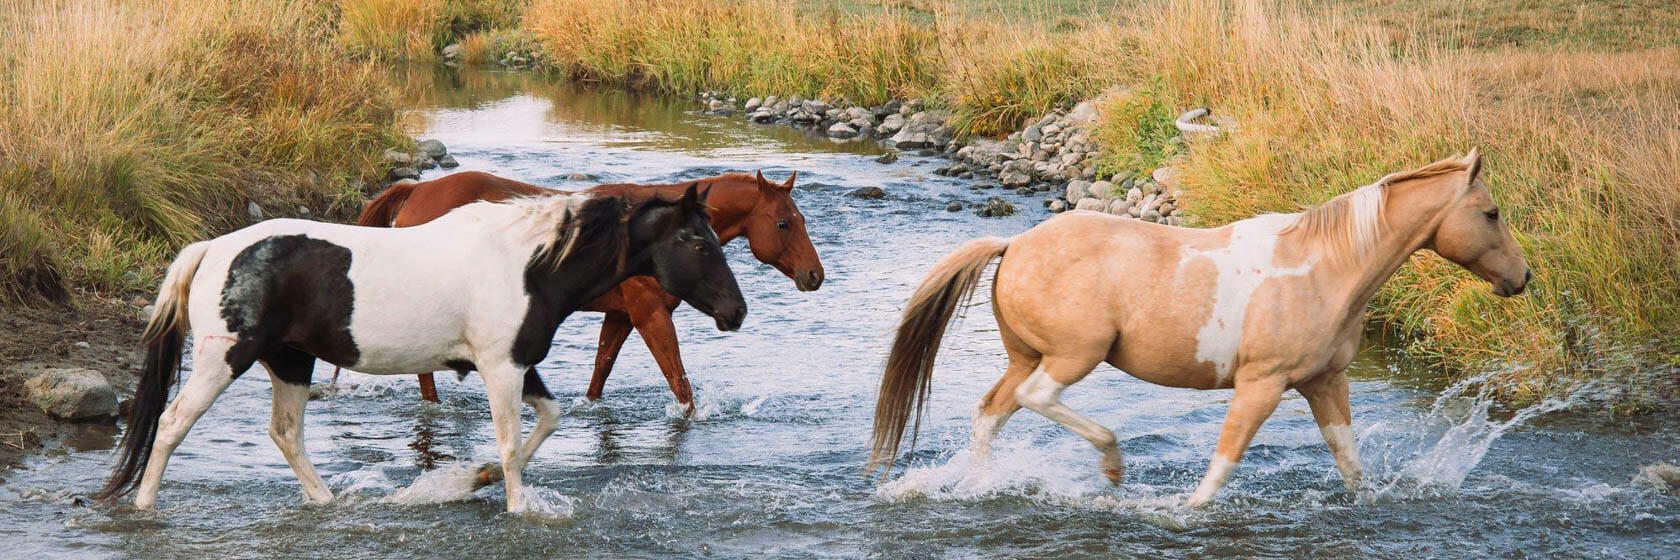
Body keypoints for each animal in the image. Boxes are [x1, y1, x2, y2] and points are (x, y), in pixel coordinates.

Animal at [96, 183, 742, 511]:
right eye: (696, 241)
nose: (736, 312)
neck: (528, 265)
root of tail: (212, 248)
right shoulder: (499, 368)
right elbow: (512, 446)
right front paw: (513, 506)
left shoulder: (517, 364)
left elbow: (547, 423)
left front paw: (474, 479)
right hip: (224, 356)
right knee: (171, 424)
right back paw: (145, 506)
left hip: (292, 361)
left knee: (286, 435)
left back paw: (328, 503)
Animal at [362, 169, 826, 410]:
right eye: (782, 223)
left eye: (801, 218)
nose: (814, 275)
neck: (650, 236)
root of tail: (418, 189)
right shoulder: (651, 316)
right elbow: (678, 382)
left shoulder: (620, 316)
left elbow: (600, 372)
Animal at [873, 147, 1532, 504]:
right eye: (1491, 212)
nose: (1522, 278)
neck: (1322, 265)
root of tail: (1013, 246)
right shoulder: (1262, 384)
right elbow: (1224, 461)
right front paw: (1185, 510)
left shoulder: (1325, 382)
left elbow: (1348, 459)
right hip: (1073, 356)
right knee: (1036, 399)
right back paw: (1112, 465)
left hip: (1026, 356)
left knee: (991, 413)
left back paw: (981, 482)